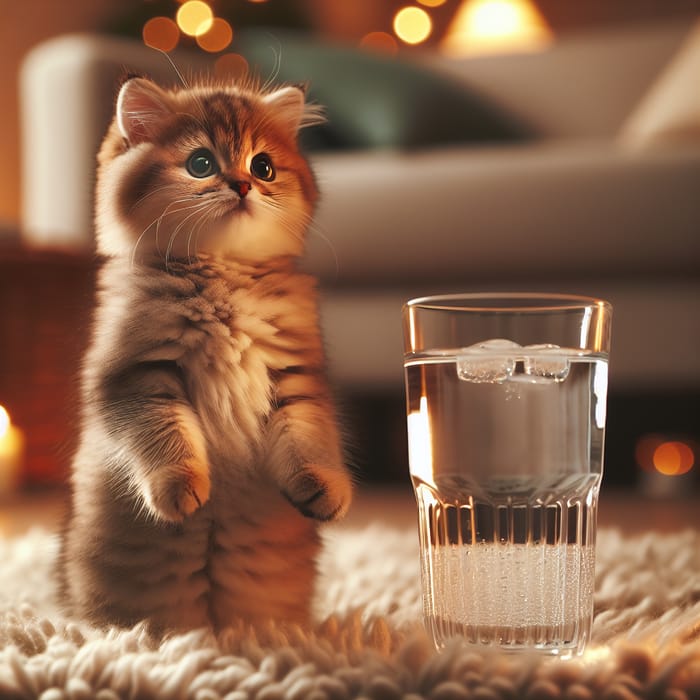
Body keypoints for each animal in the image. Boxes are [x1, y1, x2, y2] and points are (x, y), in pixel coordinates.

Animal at [59, 74, 352, 632]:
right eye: (201, 163)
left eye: (264, 167)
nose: (242, 185)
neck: (223, 280)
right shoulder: (138, 379)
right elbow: (168, 441)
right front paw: (181, 489)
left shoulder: (296, 379)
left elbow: (309, 443)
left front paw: (324, 490)